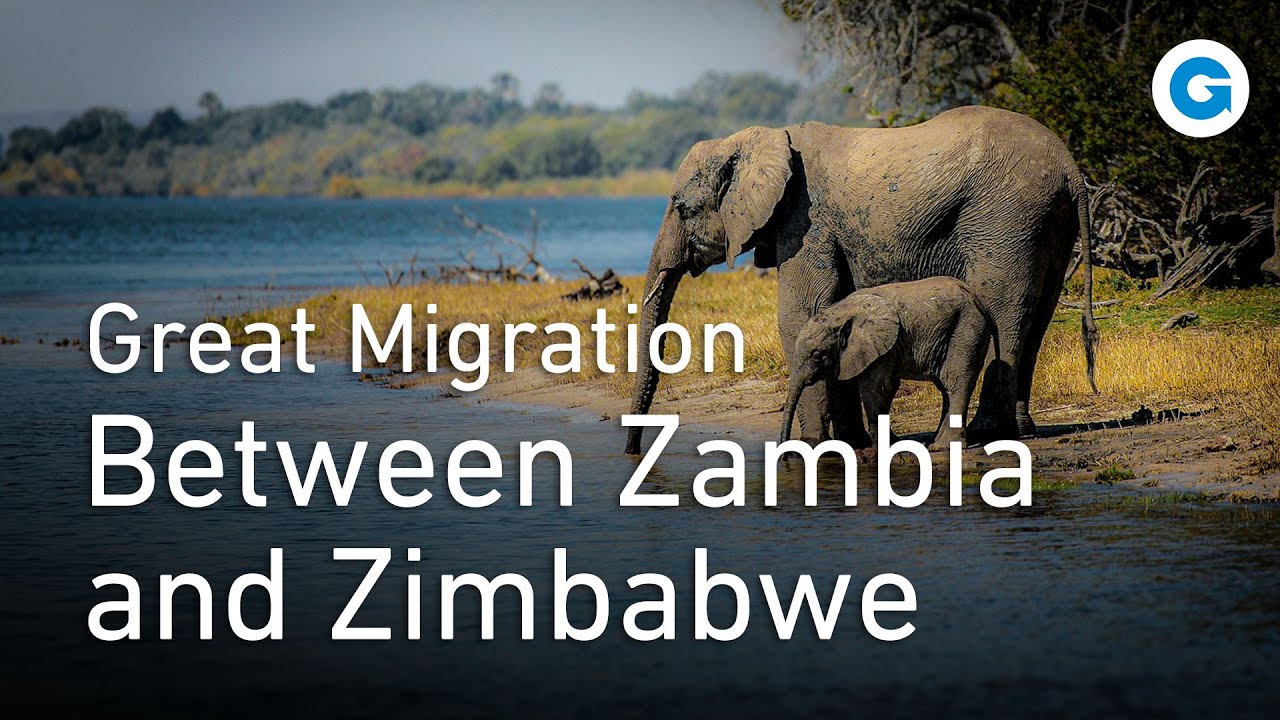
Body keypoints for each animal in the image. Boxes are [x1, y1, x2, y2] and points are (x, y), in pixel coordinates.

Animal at [779, 277, 997, 450]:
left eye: (817, 355)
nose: (785, 456)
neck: (839, 313)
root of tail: (979, 301)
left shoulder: (881, 349)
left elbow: (876, 388)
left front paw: (881, 448)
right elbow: (887, 389)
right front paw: (892, 444)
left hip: (966, 330)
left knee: (956, 382)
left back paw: (945, 446)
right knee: (945, 388)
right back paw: (934, 445)